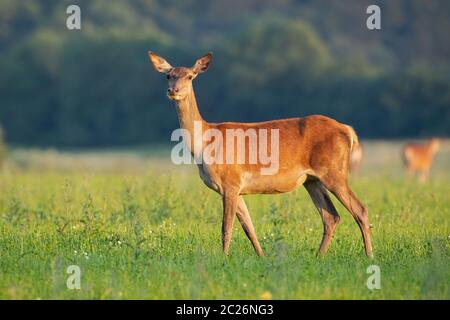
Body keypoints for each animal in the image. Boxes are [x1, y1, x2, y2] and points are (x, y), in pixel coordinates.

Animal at [148, 52, 372, 258]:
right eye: (168, 75)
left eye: (190, 76)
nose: (173, 91)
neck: (205, 143)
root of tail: (348, 130)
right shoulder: (236, 188)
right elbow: (249, 227)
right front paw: (261, 256)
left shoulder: (230, 182)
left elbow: (226, 227)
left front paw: (223, 259)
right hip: (312, 180)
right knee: (331, 216)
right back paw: (319, 256)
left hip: (334, 171)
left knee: (359, 209)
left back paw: (368, 255)